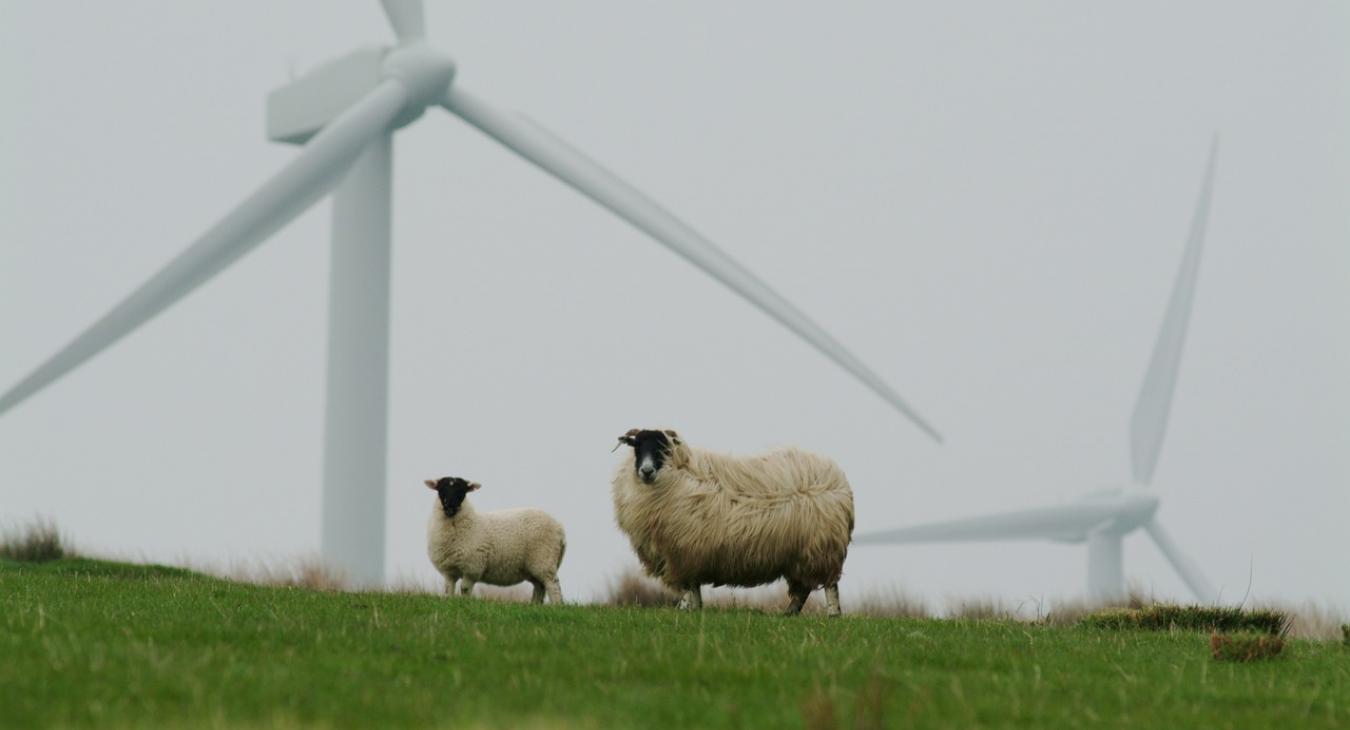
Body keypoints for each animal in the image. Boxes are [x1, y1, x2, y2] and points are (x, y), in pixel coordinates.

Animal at [423, 474, 567, 601]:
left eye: (462, 491)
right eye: (441, 489)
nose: (450, 505)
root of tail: (559, 527)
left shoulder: (472, 568)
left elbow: (464, 589)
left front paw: (464, 603)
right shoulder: (449, 571)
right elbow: (448, 591)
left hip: (544, 560)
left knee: (553, 586)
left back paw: (557, 606)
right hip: (533, 567)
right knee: (539, 587)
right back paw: (535, 605)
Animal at [612, 426, 853, 615]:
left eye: (663, 448)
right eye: (637, 446)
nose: (646, 471)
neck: (676, 477)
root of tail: (838, 480)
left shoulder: (682, 553)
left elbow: (689, 587)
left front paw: (684, 609)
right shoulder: (689, 555)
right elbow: (694, 589)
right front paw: (694, 610)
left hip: (823, 549)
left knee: (829, 585)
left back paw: (832, 614)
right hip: (800, 555)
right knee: (802, 590)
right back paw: (788, 614)